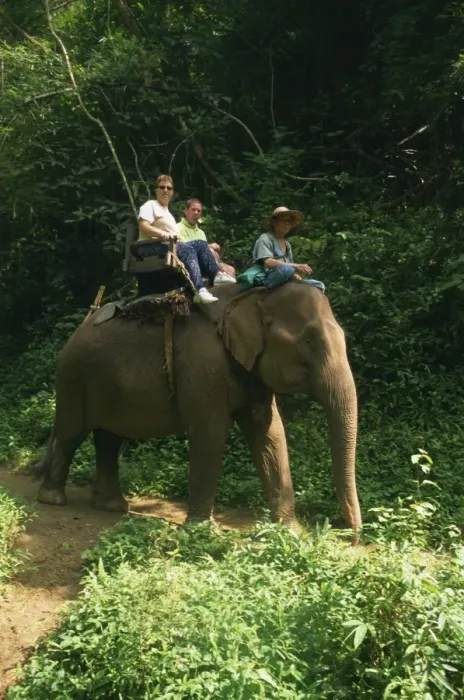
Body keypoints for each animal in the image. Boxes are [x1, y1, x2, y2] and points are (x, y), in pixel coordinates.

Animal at [34, 282, 362, 533]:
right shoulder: (203, 366)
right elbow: (210, 433)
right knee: (72, 433)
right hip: (73, 376)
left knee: (109, 438)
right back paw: (53, 499)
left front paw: (289, 532)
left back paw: (111, 506)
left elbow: (269, 433)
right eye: (309, 339)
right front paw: (202, 530)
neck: (252, 297)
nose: (354, 534)